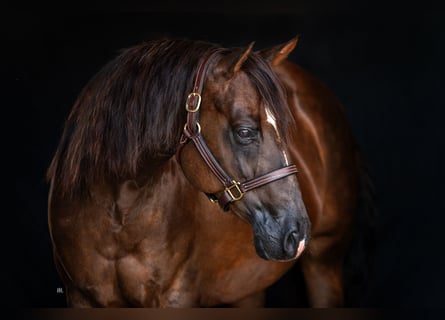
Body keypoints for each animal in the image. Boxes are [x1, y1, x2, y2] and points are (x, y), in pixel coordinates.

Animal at [47, 37, 374, 308]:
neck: (118, 213)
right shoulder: (80, 298)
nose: (298, 232)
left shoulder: (176, 298)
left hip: (324, 264)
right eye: (245, 131)